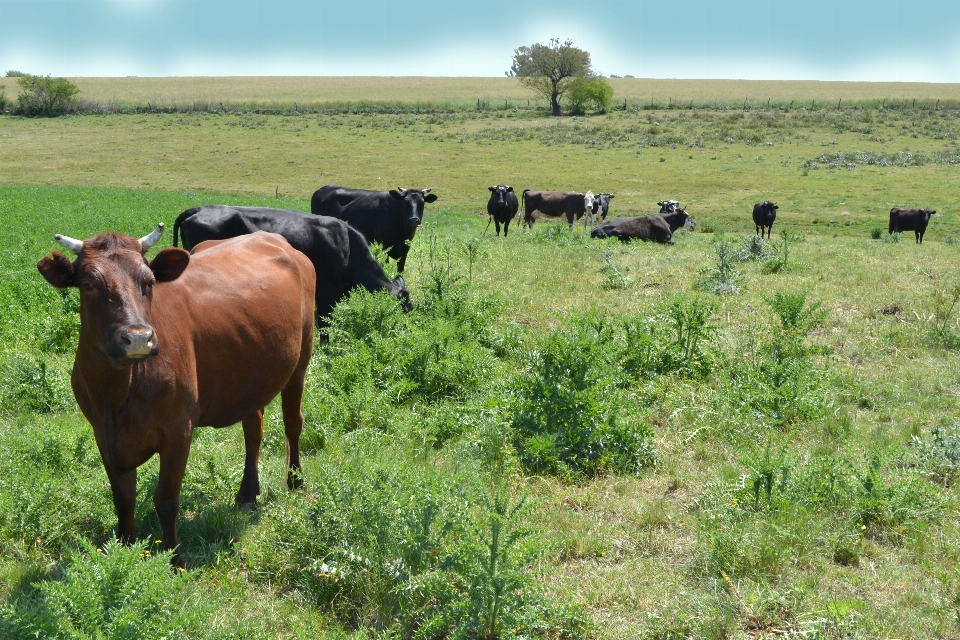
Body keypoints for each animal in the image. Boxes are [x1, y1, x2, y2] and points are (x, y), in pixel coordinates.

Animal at [36, 225, 316, 564]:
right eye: (88, 284)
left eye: (149, 283)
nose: (138, 338)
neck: (116, 395)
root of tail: (274, 238)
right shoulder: (103, 433)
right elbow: (123, 497)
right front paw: (125, 550)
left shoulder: (178, 429)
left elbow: (166, 499)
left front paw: (175, 559)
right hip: (251, 376)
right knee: (254, 429)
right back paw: (248, 493)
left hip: (301, 358)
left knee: (292, 422)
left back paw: (295, 481)